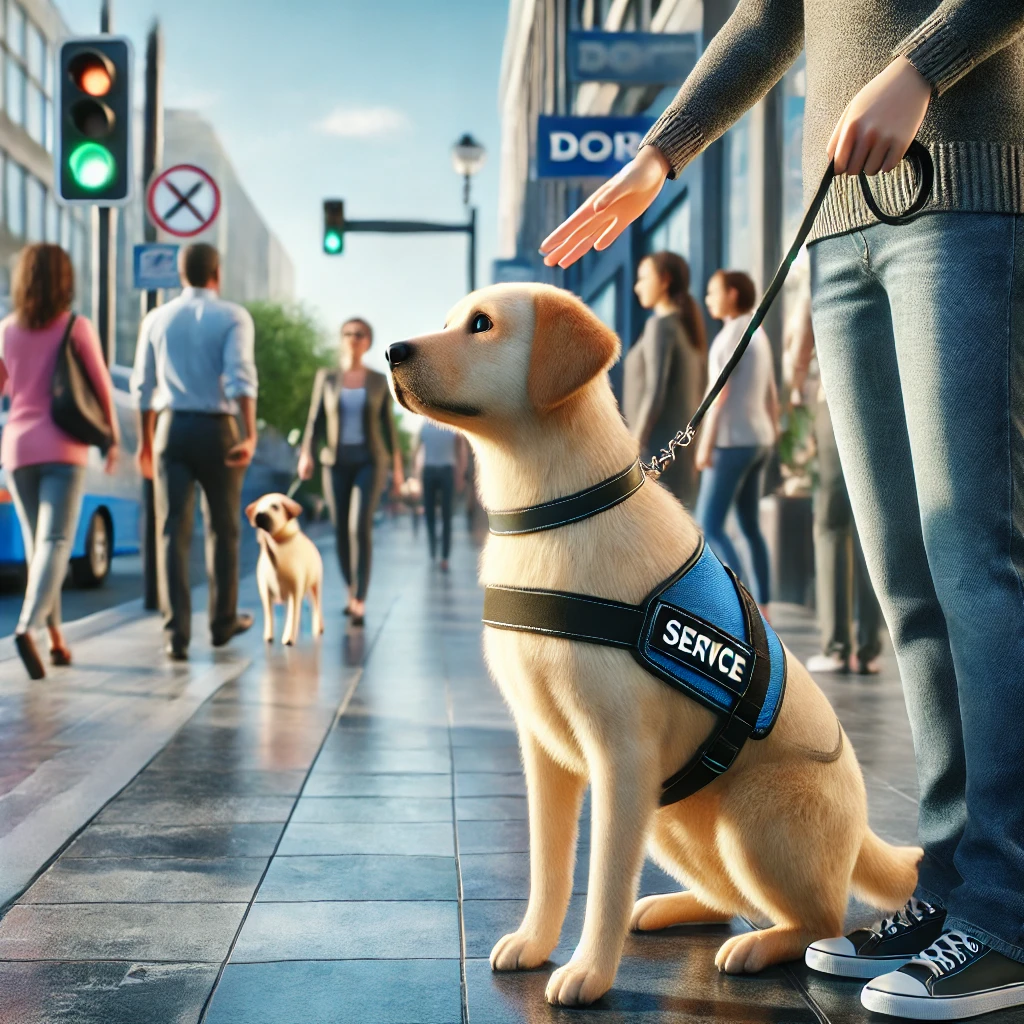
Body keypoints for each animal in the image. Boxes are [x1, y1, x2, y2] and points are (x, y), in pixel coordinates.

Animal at [244, 491, 321, 643]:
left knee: (315, 606)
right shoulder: (265, 591)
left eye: (275, 506)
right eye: (258, 506)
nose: (260, 515)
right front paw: (268, 636)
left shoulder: (295, 589)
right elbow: (269, 614)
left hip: (314, 585)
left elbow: (293, 614)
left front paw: (289, 639)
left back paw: (317, 629)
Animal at [387, 282, 925, 1007]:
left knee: (820, 920)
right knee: (731, 899)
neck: (555, 513)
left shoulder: (622, 757)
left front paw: (587, 973)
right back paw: (677, 909)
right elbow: (551, 868)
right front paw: (534, 943)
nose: (392, 351)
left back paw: (759, 947)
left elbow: (606, 883)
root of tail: (865, 826)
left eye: (481, 325)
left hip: (750, 815)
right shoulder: (544, 751)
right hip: (673, 817)